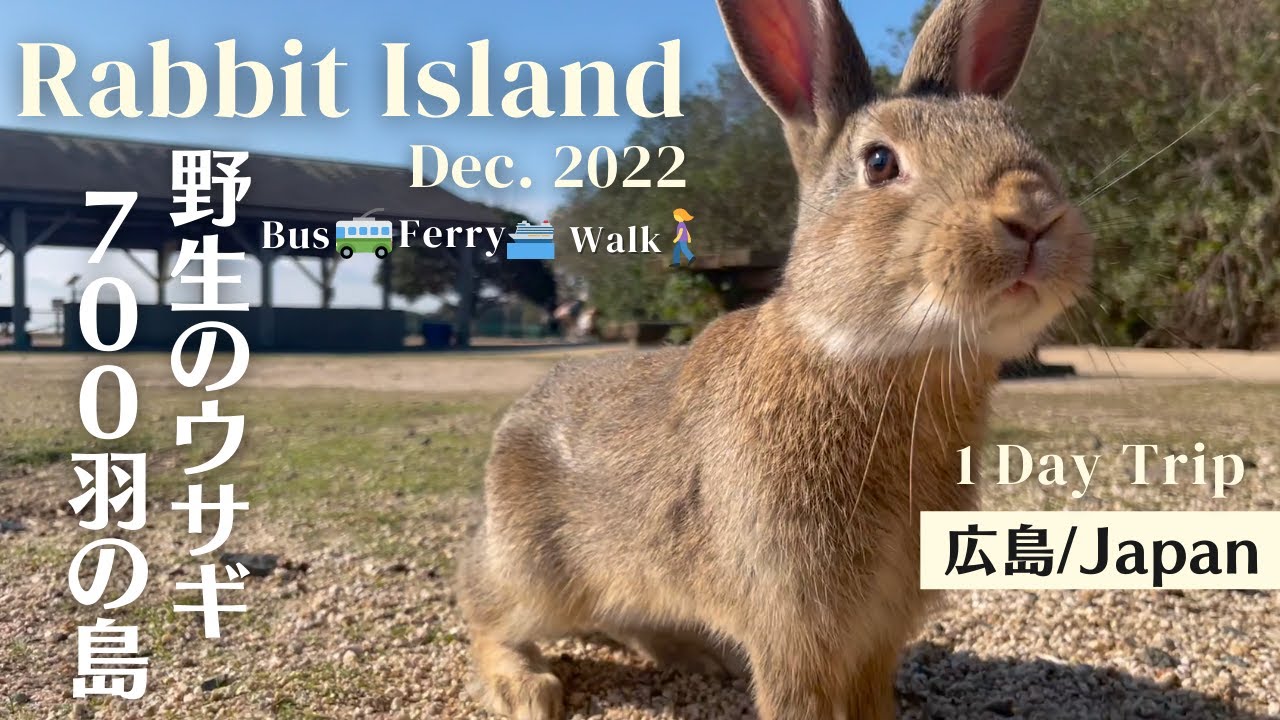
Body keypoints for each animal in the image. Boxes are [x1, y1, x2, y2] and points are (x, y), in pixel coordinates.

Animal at [455, 0, 1094, 718]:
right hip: (539, 573)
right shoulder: (794, 623)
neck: (870, 358)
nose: (1032, 214)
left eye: (1020, 136)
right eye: (880, 161)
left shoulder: (877, 633)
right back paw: (527, 687)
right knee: (484, 605)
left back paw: (697, 656)